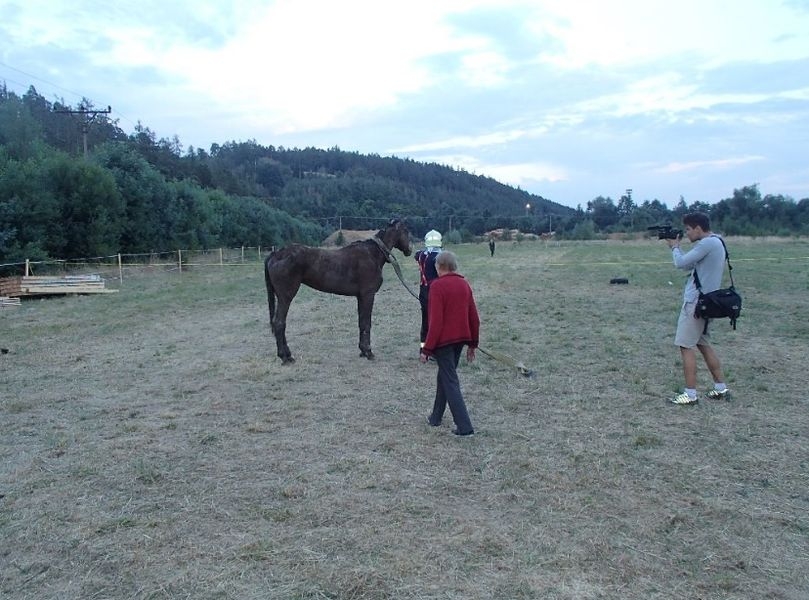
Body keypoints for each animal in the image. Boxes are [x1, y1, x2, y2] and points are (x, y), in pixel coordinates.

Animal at [266, 218, 414, 364]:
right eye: (406, 231)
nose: (409, 250)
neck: (372, 254)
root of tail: (276, 254)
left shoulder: (360, 297)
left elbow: (361, 322)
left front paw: (362, 350)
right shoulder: (368, 295)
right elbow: (367, 323)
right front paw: (368, 352)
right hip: (285, 297)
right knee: (279, 323)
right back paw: (285, 356)